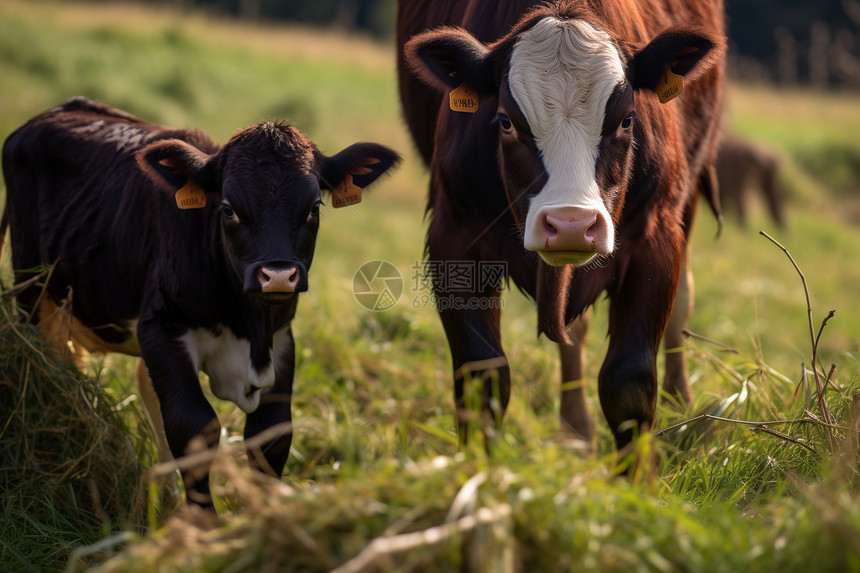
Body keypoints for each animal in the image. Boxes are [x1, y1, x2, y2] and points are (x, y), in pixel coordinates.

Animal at [400, 0, 724, 450]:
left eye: (627, 120)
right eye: (505, 121)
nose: (572, 225)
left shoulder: (656, 238)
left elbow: (629, 383)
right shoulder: (454, 237)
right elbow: (483, 375)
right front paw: (475, 466)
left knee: (682, 304)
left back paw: (681, 407)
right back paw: (576, 431)